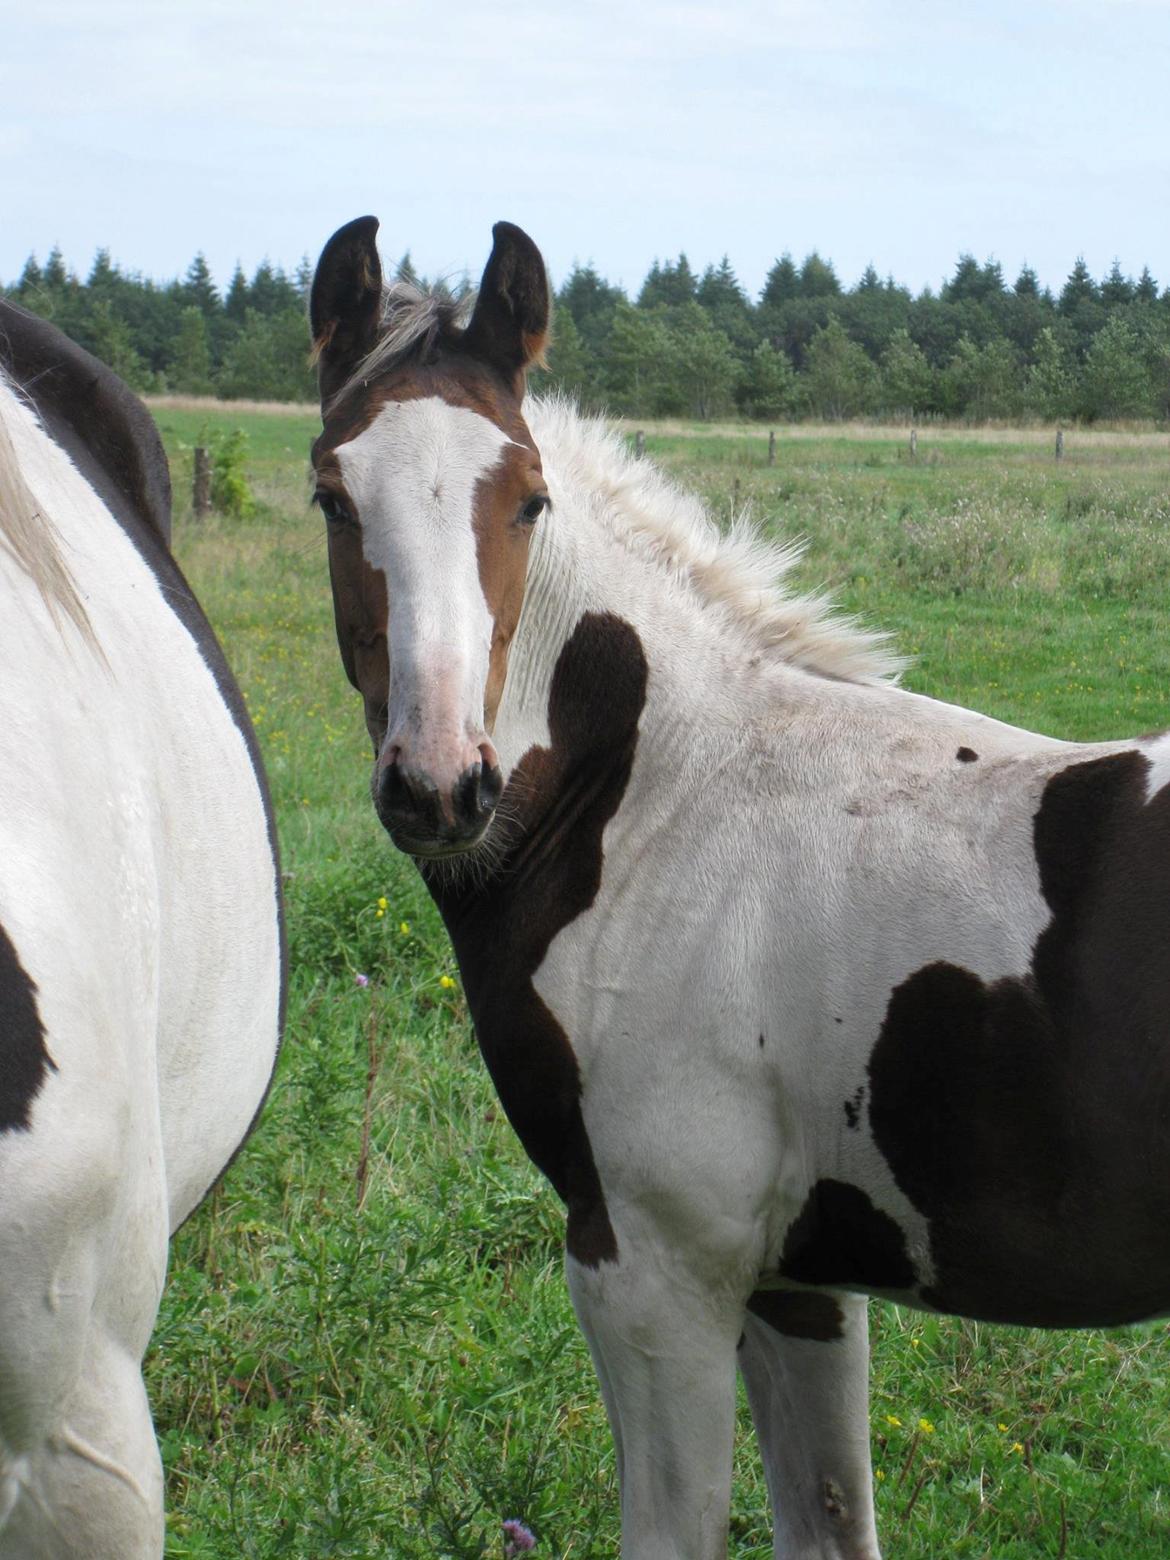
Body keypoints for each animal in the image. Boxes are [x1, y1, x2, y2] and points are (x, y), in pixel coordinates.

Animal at [308, 219, 1170, 1560]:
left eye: (529, 497)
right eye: (331, 495)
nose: (443, 786)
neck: (669, 798)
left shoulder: (653, 1272)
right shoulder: (799, 1281)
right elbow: (826, 1523)